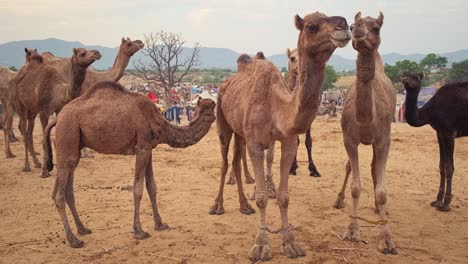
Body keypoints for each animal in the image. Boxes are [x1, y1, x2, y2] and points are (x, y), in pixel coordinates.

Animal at [42, 82, 214, 248]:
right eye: (210, 107)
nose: (213, 115)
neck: (159, 122)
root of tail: (58, 118)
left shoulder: (149, 148)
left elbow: (152, 186)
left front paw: (160, 224)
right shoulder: (142, 148)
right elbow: (137, 189)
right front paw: (139, 231)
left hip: (72, 145)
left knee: (66, 187)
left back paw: (82, 229)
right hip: (68, 133)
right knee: (59, 194)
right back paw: (73, 240)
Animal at [210, 11, 350, 260]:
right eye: (311, 26)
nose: (344, 25)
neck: (276, 104)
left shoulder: (287, 141)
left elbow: (284, 197)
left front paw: (290, 243)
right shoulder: (256, 143)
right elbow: (263, 197)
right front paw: (261, 245)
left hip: (240, 132)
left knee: (236, 160)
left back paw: (244, 206)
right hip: (223, 124)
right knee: (225, 161)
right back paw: (218, 206)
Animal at [334, 11, 396, 254]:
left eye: (377, 27)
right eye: (352, 24)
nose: (358, 26)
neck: (367, 118)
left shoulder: (384, 141)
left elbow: (382, 190)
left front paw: (386, 238)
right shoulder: (349, 140)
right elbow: (355, 187)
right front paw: (352, 230)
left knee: (374, 168)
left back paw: (380, 210)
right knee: (351, 167)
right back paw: (338, 199)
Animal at [398, 71, 468, 211]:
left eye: (416, 77)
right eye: (405, 74)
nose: (405, 80)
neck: (430, 111)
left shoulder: (449, 132)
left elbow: (449, 167)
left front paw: (446, 203)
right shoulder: (440, 133)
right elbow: (441, 166)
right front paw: (437, 201)